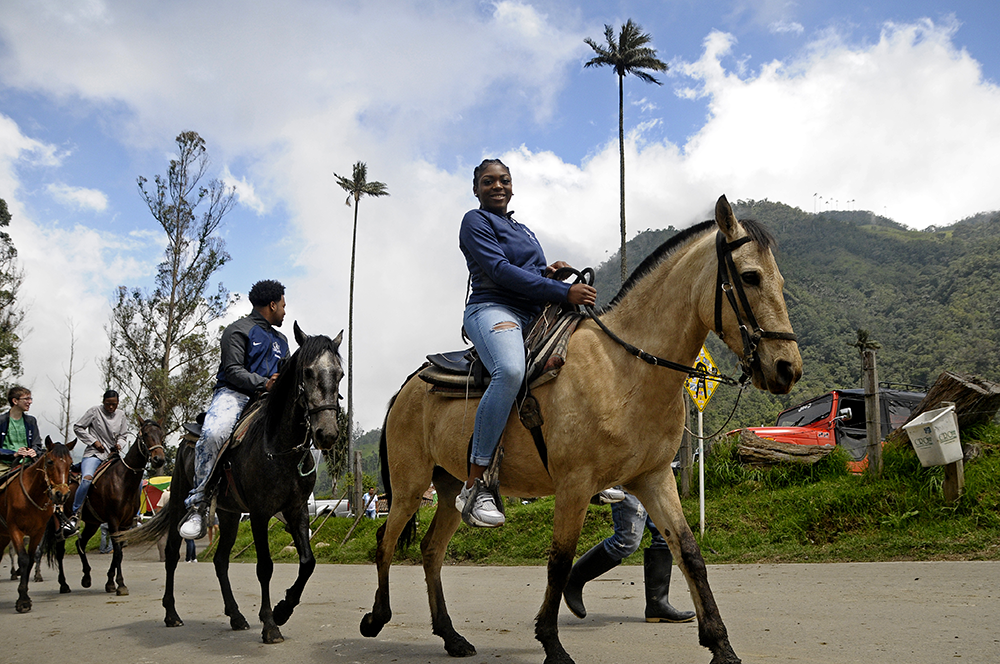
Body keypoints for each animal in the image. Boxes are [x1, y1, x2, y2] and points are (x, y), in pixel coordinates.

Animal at [0, 436, 73, 612]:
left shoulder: (38, 532)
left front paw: (25, 596)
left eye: (70, 463)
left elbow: (33, 558)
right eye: (50, 462)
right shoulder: (15, 529)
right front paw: (22, 601)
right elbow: (23, 559)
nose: (62, 494)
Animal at [44, 418, 166, 592]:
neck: (124, 480)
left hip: (92, 523)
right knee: (60, 550)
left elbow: (119, 553)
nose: (159, 459)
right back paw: (64, 584)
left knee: (80, 543)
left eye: (161, 435)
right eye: (146, 434)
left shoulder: (125, 523)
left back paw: (86, 578)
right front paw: (120, 584)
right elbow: (118, 552)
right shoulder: (114, 521)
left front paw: (110, 583)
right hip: (60, 522)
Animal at [360, 197, 804, 664]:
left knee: (431, 551)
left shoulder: (654, 477)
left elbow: (689, 553)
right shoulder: (573, 484)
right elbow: (559, 561)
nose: (787, 368)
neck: (624, 367)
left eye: (779, 279)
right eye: (751, 277)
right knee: (385, 542)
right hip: (410, 487)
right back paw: (376, 618)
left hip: (446, 488)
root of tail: (408, 384)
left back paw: (451, 636)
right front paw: (552, 645)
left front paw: (721, 645)